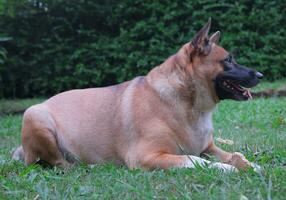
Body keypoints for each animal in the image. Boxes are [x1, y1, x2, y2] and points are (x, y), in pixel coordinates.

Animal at [12, 19, 262, 172]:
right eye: (228, 60)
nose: (260, 74)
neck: (186, 102)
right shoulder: (147, 156)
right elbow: (195, 160)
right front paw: (225, 168)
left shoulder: (210, 148)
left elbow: (234, 154)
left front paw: (249, 165)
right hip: (36, 117)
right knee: (59, 163)